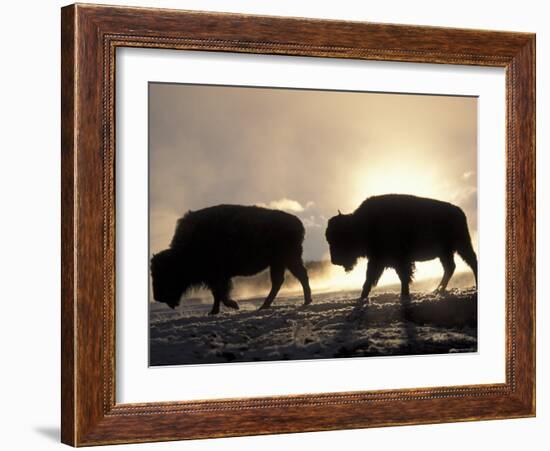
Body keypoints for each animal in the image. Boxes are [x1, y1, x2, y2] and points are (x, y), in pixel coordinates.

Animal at [151, 205, 314, 314]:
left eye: (164, 273)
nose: (157, 297)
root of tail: (298, 222)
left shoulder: (218, 276)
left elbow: (221, 293)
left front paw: (233, 305)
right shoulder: (214, 278)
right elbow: (217, 294)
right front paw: (214, 311)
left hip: (287, 259)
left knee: (298, 277)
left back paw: (303, 301)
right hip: (279, 262)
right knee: (282, 281)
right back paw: (266, 305)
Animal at [328, 195, 478, 304]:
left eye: (339, 238)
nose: (334, 261)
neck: (361, 224)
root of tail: (459, 211)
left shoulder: (398, 261)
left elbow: (403, 277)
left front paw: (404, 295)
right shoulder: (378, 261)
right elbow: (369, 279)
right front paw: (361, 298)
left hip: (462, 246)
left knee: (471, 262)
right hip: (446, 252)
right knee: (450, 267)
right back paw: (438, 290)